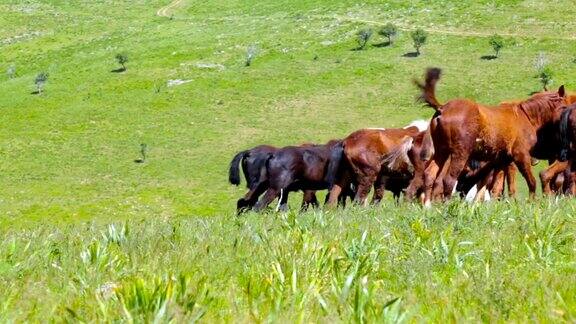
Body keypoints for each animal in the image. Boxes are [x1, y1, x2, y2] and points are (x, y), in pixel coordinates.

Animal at [414, 67, 568, 204]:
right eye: (566, 106)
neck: (525, 115)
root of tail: (443, 108)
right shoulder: (521, 155)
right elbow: (531, 181)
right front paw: (532, 202)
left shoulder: (502, 160)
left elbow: (498, 188)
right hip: (459, 154)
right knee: (448, 180)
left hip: (442, 152)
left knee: (429, 176)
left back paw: (428, 207)